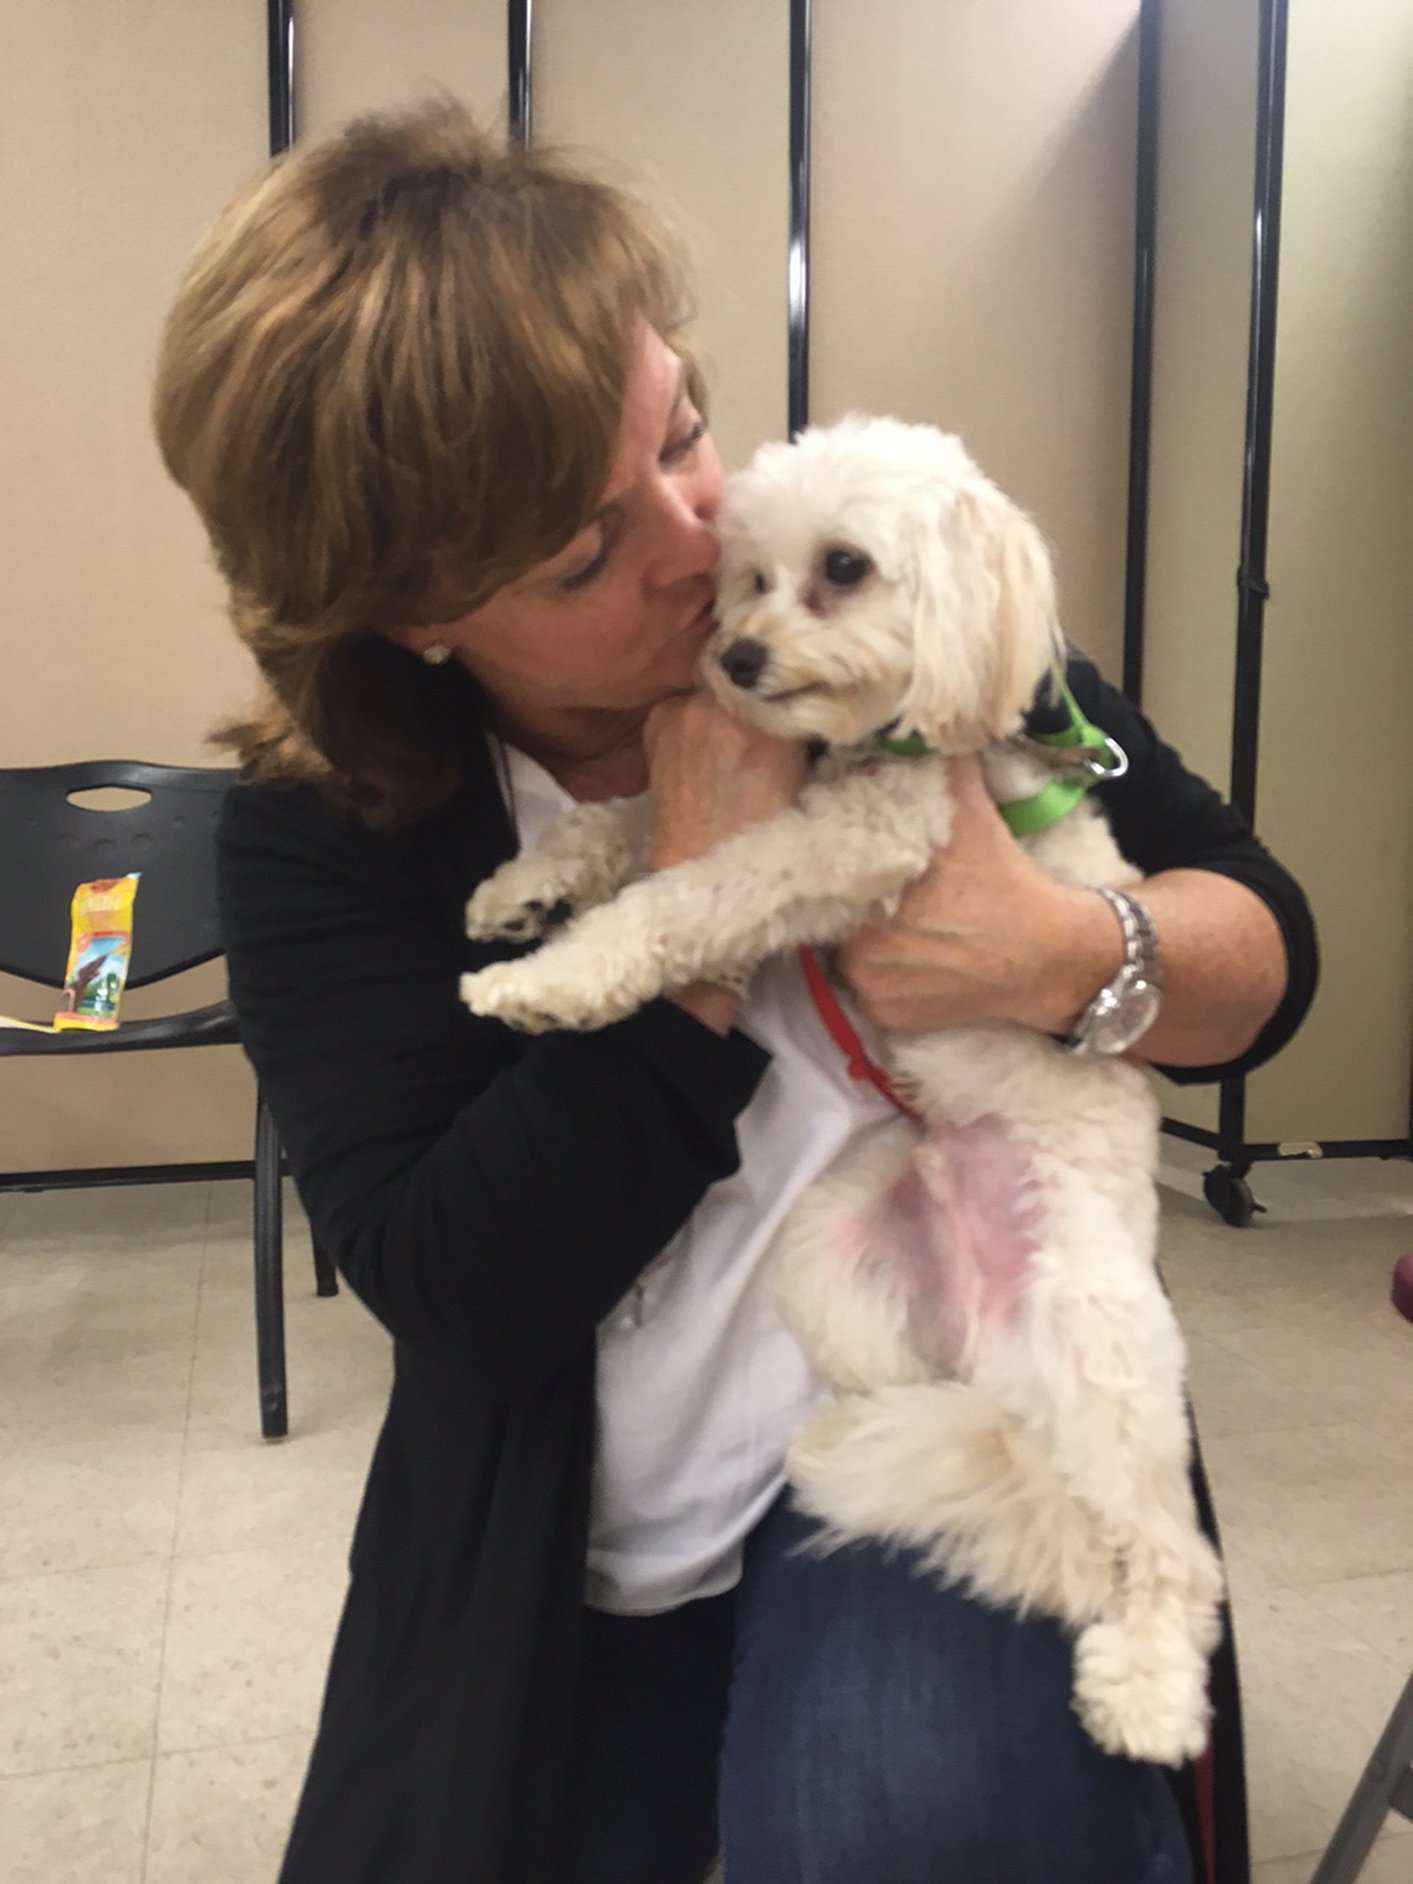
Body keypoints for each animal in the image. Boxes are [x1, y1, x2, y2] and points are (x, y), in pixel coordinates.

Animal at [459, 412, 1220, 1763]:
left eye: (846, 568)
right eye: (746, 576)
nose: (737, 658)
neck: (887, 734)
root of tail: (992, 1352)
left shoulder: (860, 840)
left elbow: (687, 890)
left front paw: (550, 981)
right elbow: (630, 821)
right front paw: (525, 891)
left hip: (1103, 1347)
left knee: (1171, 1555)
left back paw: (1146, 1689)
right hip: (837, 1264)